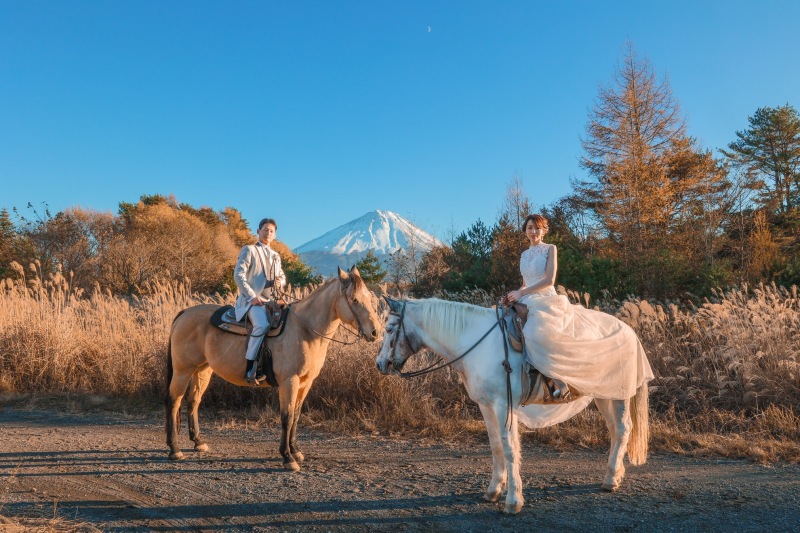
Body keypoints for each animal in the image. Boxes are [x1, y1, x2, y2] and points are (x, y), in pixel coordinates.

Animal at [165, 266, 382, 472]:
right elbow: (287, 417)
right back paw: (174, 449)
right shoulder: (289, 381)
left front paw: (296, 451)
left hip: (202, 370)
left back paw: (198, 442)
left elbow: (296, 416)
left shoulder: (305, 383)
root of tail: (184, 313)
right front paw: (287, 457)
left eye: (369, 297)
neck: (304, 330)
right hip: (183, 370)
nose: (375, 332)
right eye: (354, 299)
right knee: (174, 401)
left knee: (193, 401)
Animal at [375, 297, 650, 515]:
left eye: (389, 329)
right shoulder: (486, 406)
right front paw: (494, 490)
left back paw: (611, 480)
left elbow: (509, 449)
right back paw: (616, 473)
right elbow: (496, 446)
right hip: (603, 394)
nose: (380, 364)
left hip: (618, 394)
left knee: (623, 429)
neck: (477, 344)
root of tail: (627, 329)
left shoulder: (502, 404)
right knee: (615, 431)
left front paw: (513, 500)